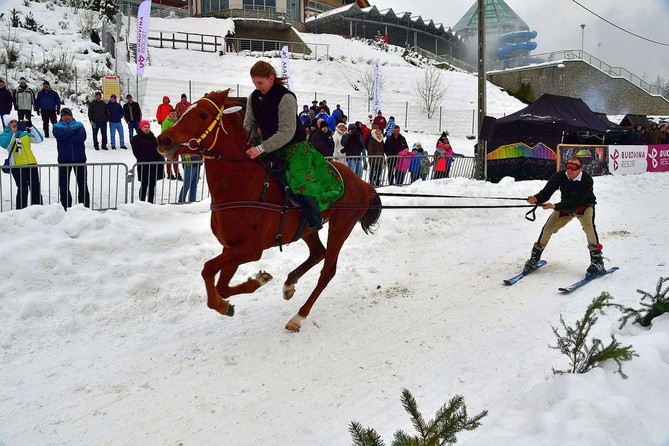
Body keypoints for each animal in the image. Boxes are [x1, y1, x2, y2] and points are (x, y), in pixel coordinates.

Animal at [153, 89, 378, 330]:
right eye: (185, 109)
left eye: (203, 114)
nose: (163, 140)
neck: (244, 185)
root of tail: (362, 183)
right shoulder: (231, 248)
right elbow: (221, 285)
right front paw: (251, 286)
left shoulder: (250, 250)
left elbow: (208, 269)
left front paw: (224, 303)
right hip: (307, 228)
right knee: (318, 253)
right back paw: (289, 283)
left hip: (341, 225)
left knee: (327, 270)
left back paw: (298, 316)